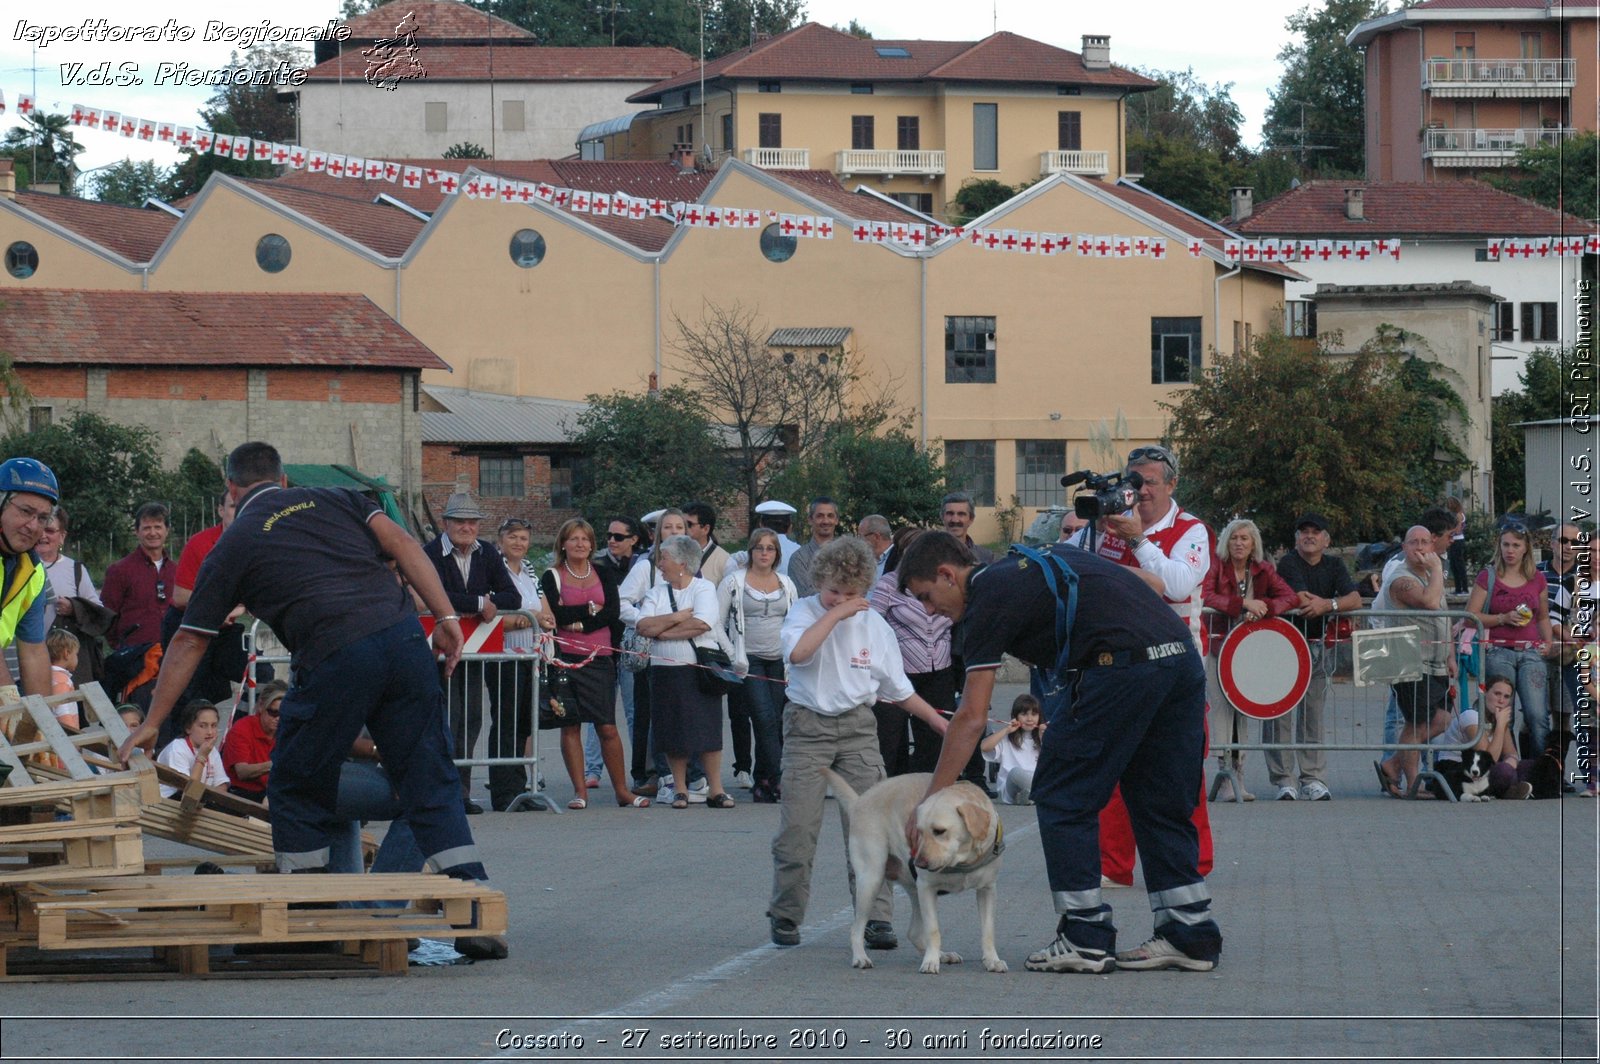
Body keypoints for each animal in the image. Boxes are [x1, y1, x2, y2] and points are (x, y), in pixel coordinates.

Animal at [819, 768, 1004, 972]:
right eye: (919, 831)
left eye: (939, 831)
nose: (919, 863)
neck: (962, 861)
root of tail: (859, 801)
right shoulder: (927, 889)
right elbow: (933, 931)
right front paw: (930, 962)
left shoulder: (987, 890)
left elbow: (988, 931)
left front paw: (992, 960)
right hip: (871, 881)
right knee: (856, 929)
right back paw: (860, 957)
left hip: (912, 889)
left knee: (914, 933)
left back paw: (943, 955)